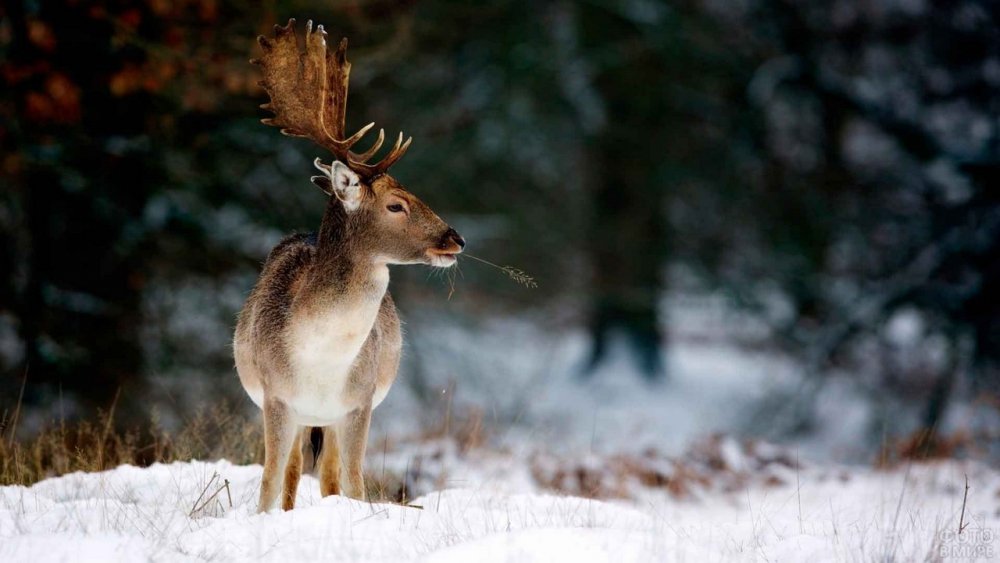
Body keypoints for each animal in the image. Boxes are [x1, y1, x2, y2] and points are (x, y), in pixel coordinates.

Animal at [234, 20, 464, 516]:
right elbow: (267, 482)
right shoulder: (276, 397)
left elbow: (355, 484)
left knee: (329, 475)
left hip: (333, 418)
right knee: (294, 471)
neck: (320, 358)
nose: (455, 239)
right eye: (396, 204)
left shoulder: (360, 402)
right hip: (298, 414)